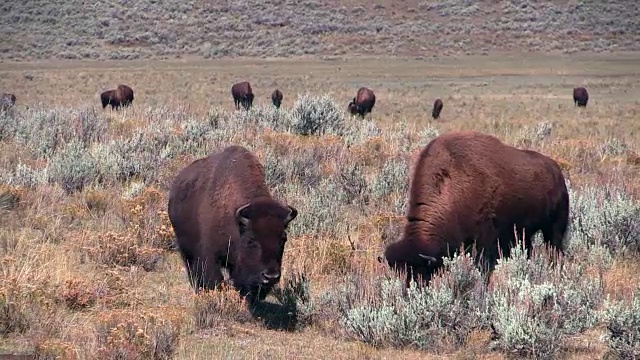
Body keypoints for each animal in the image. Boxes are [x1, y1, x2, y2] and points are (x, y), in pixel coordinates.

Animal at [168, 145, 298, 302]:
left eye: (283, 239)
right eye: (251, 240)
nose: (270, 276)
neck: (237, 224)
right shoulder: (209, 255)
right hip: (185, 249)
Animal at [378, 131, 568, 286]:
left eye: (420, 272)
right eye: (398, 274)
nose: (408, 292)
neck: (451, 185)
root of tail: (557, 172)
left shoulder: (485, 240)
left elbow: (483, 268)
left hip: (554, 228)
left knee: (555, 250)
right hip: (524, 234)